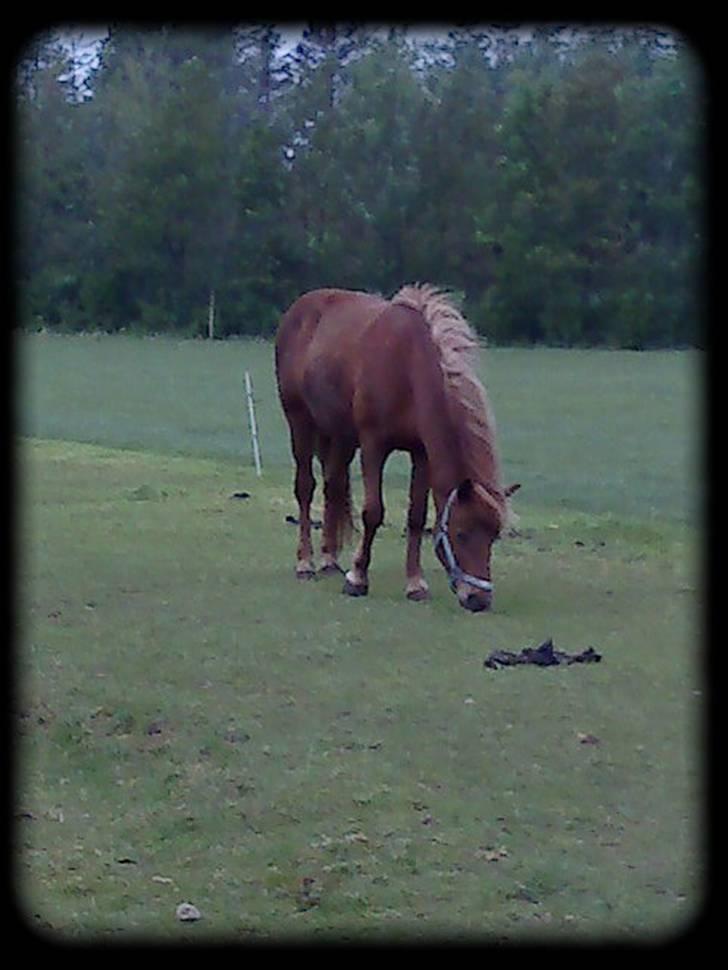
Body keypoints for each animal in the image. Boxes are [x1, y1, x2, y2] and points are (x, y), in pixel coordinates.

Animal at [272, 284, 516, 608]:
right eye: (462, 533)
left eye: (494, 535)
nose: (479, 600)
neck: (406, 365)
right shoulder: (374, 446)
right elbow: (373, 512)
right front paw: (357, 578)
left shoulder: (421, 454)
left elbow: (416, 517)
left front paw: (415, 583)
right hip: (299, 422)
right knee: (305, 488)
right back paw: (305, 563)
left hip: (339, 437)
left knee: (332, 487)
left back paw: (328, 560)